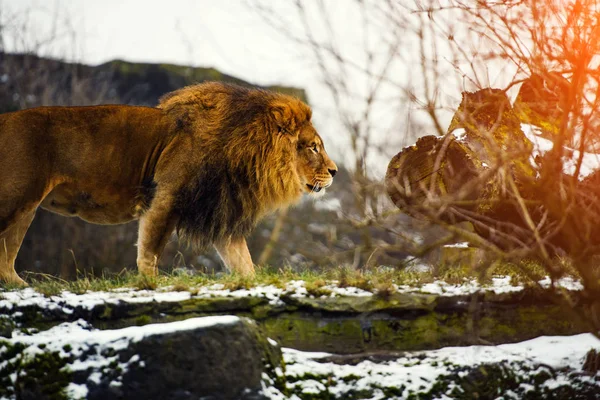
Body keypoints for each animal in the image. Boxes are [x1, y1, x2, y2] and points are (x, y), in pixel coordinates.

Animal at [0, 81, 338, 284]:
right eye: (313, 147)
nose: (335, 172)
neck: (245, 152)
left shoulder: (220, 213)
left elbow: (245, 264)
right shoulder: (166, 197)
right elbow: (149, 251)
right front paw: (151, 283)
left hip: (25, 208)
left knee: (5, 260)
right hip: (15, 198)